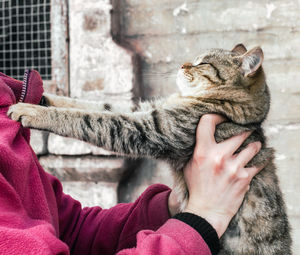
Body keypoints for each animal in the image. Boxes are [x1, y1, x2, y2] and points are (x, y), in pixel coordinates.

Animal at [8, 44, 292, 254]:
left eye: (203, 64)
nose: (182, 65)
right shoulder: (145, 110)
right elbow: (94, 105)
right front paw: (42, 96)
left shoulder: (150, 127)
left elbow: (90, 118)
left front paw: (32, 110)